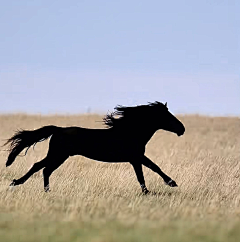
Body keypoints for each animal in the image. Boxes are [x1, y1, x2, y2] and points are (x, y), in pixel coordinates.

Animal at [3, 101, 185, 194]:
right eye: (167, 116)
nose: (182, 129)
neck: (130, 132)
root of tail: (58, 129)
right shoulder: (136, 157)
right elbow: (153, 168)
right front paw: (171, 183)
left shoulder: (134, 159)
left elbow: (142, 175)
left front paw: (148, 191)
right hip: (58, 155)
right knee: (40, 167)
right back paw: (18, 183)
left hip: (59, 156)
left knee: (43, 169)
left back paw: (44, 190)